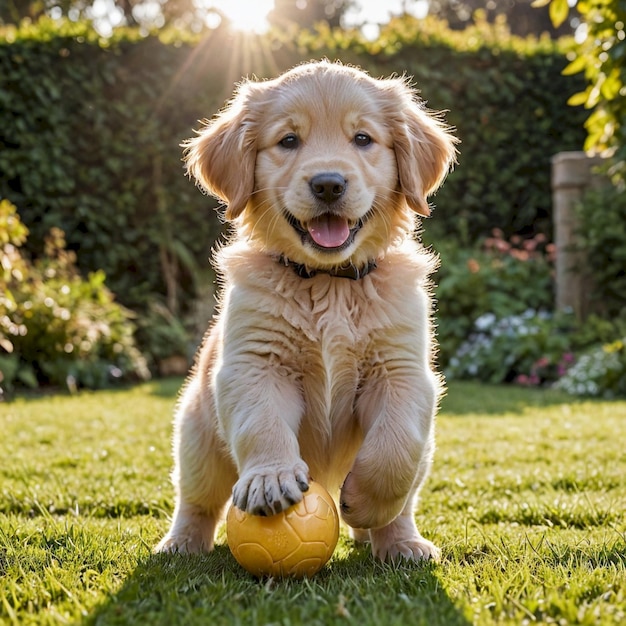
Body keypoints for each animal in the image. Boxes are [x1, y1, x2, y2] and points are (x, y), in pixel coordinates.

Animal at [155, 59, 458, 560]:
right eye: (288, 141)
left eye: (363, 139)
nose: (328, 184)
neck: (329, 282)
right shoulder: (255, 364)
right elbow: (262, 423)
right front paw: (271, 477)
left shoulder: (402, 371)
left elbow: (396, 448)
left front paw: (365, 504)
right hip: (196, 435)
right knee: (196, 499)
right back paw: (181, 543)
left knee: (407, 490)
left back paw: (400, 542)